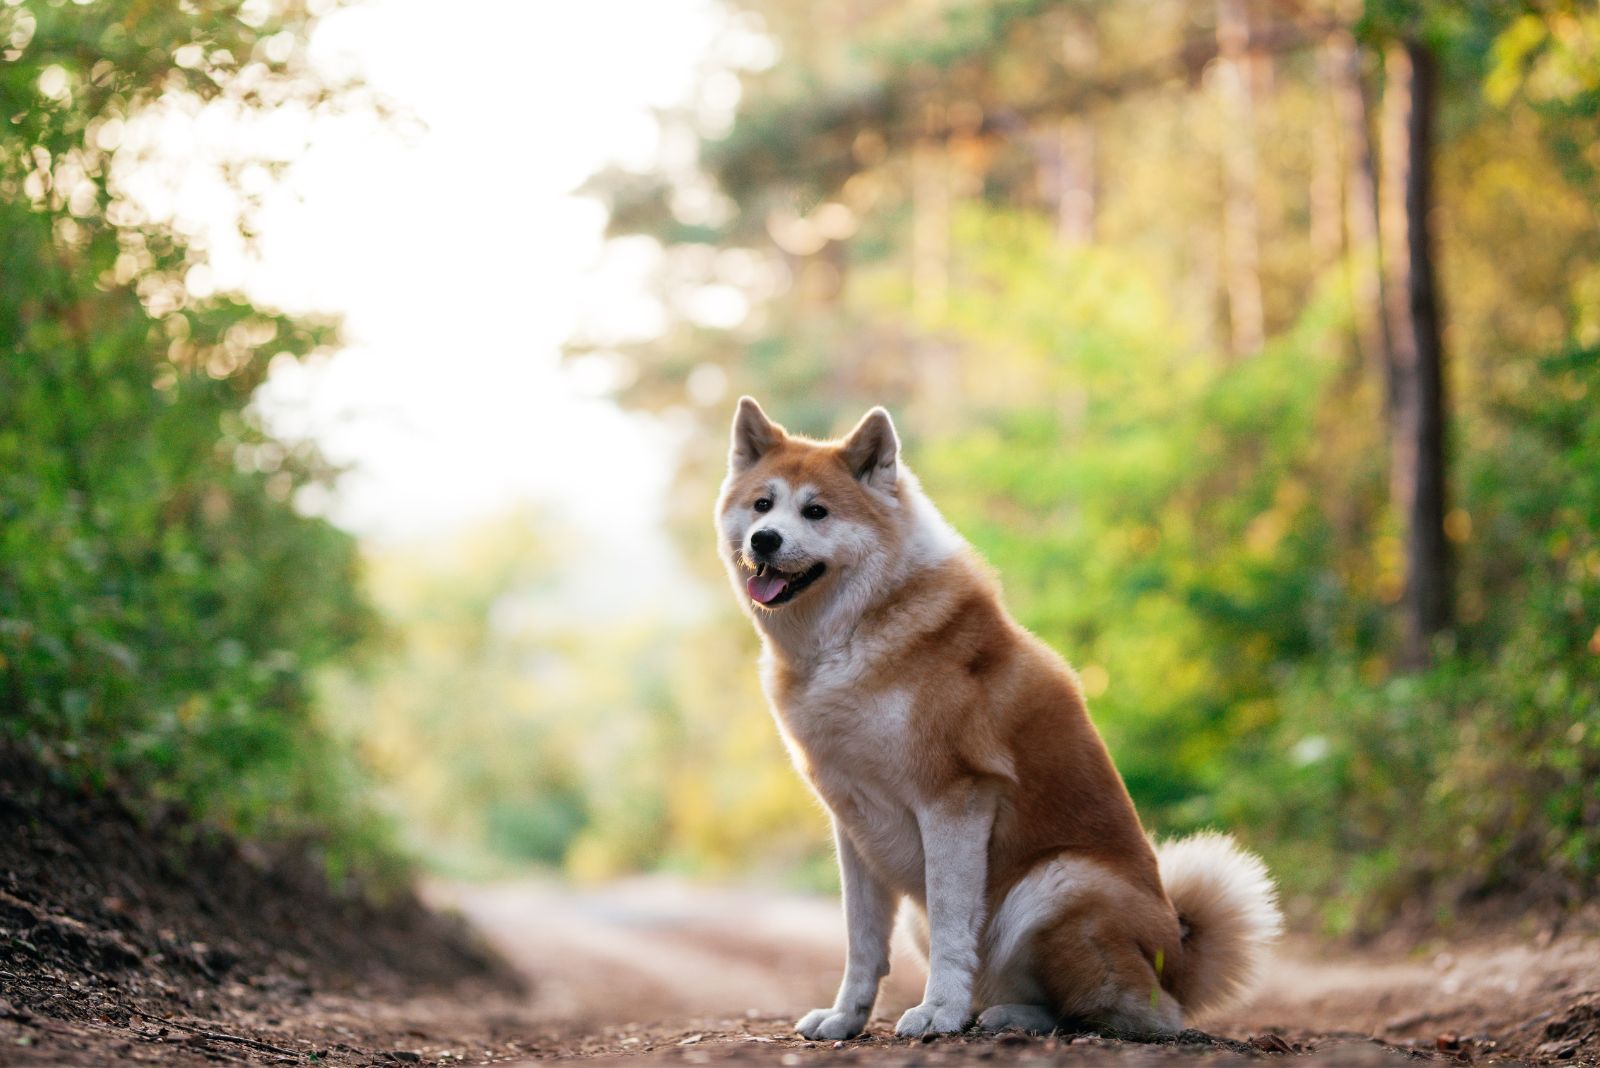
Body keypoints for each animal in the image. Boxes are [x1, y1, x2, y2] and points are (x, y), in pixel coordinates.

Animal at [720, 396, 1280, 1036]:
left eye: (816, 511)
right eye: (762, 504)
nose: (764, 540)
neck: (853, 629)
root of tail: (1180, 957)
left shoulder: (954, 799)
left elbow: (952, 925)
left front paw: (937, 1012)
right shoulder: (854, 822)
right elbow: (862, 942)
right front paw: (846, 1018)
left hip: (1058, 884)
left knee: (1113, 1010)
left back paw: (1006, 1017)